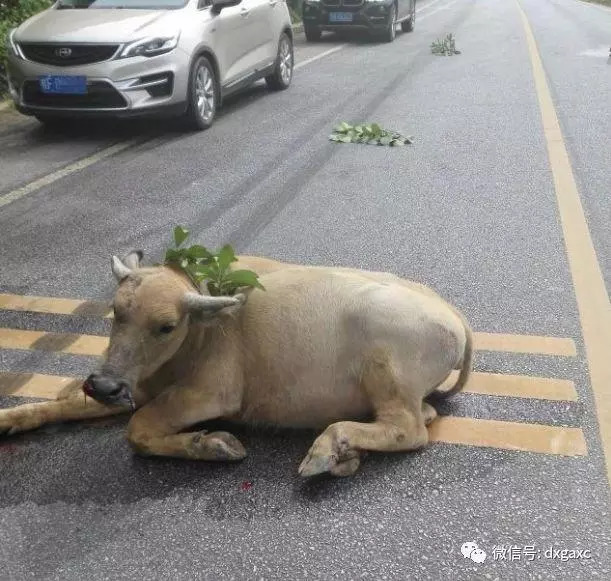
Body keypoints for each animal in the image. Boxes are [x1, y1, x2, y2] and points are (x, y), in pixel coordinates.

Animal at [0, 253, 474, 476]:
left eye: (166, 326)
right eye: (117, 311)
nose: (104, 385)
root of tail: (455, 316)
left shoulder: (210, 393)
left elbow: (137, 431)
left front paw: (212, 444)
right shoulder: (138, 385)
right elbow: (61, 405)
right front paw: (11, 419)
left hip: (386, 372)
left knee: (409, 429)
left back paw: (329, 449)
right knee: (421, 416)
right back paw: (345, 454)